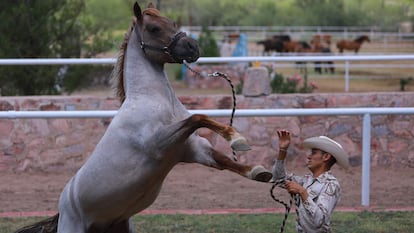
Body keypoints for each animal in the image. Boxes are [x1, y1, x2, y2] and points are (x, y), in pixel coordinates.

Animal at [16, 2, 274, 233]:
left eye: (172, 22)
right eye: (154, 28)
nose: (193, 47)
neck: (154, 100)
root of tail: (62, 210)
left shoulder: (193, 150)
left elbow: (223, 158)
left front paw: (258, 170)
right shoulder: (159, 144)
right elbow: (197, 117)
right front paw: (237, 138)